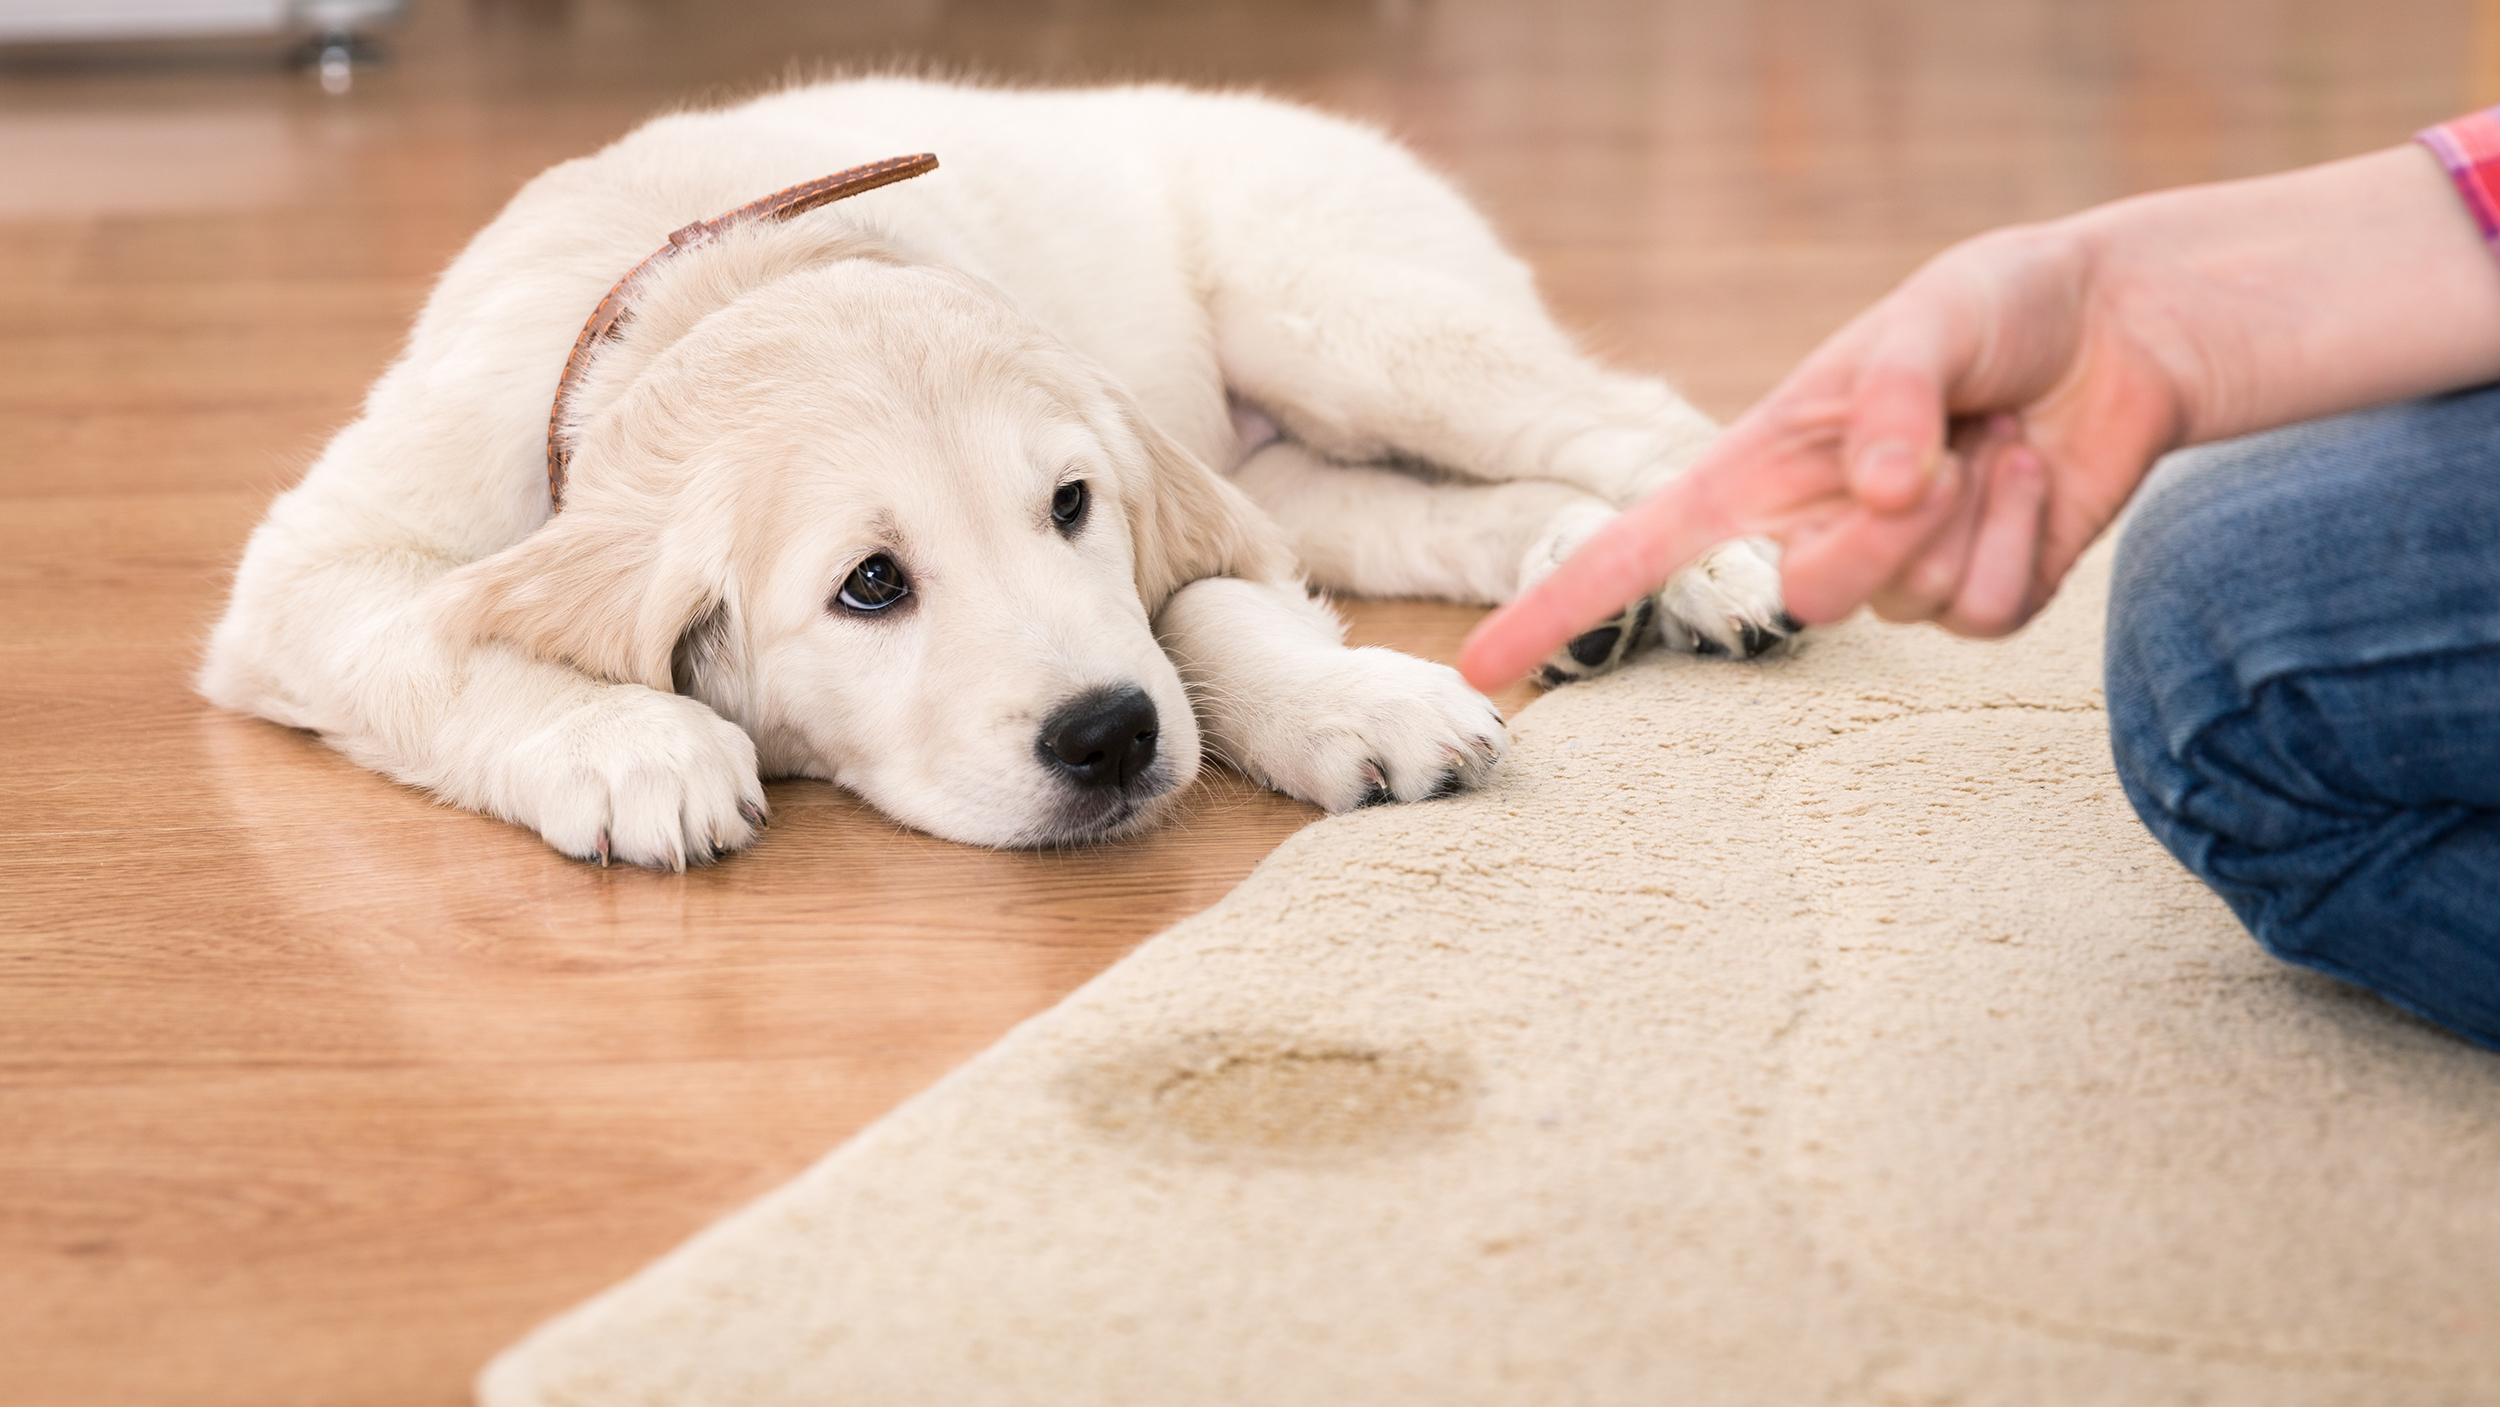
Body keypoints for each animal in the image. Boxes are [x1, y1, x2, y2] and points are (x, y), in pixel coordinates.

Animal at [205, 82, 1790, 869]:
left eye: (1070, 507)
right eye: (870, 585)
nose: (1110, 738)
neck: (718, 275)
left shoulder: (1174, 500)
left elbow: (1206, 610)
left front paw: (1352, 701)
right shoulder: (312, 572)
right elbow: (434, 642)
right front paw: (630, 745)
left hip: (1347, 316)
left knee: (1624, 415)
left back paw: (1715, 566)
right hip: (1307, 448)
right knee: (1438, 506)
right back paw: (1582, 583)